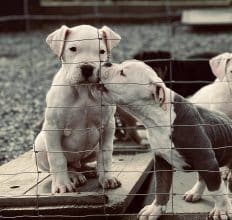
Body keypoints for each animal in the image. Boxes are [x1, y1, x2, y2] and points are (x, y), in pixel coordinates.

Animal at [35, 24, 121, 193]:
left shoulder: (108, 125)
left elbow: (106, 154)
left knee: (84, 162)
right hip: (40, 146)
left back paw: (90, 170)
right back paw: (73, 176)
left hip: (92, 149)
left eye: (102, 51)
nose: (87, 68)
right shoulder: (53, 127)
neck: (84, 91)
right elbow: (57, 159)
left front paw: (107, 178)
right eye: (73, 49)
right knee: (68, 165)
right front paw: (62, 185)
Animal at [99, 60, 232, 220]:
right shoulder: (162, 160)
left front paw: (222, 209)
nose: (107, 63)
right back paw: (195, 193)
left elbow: (217, 190)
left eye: (122, 72)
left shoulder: (206, 160)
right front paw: (155, 210)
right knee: (202, 177)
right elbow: (161, 187)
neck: (157, 117)